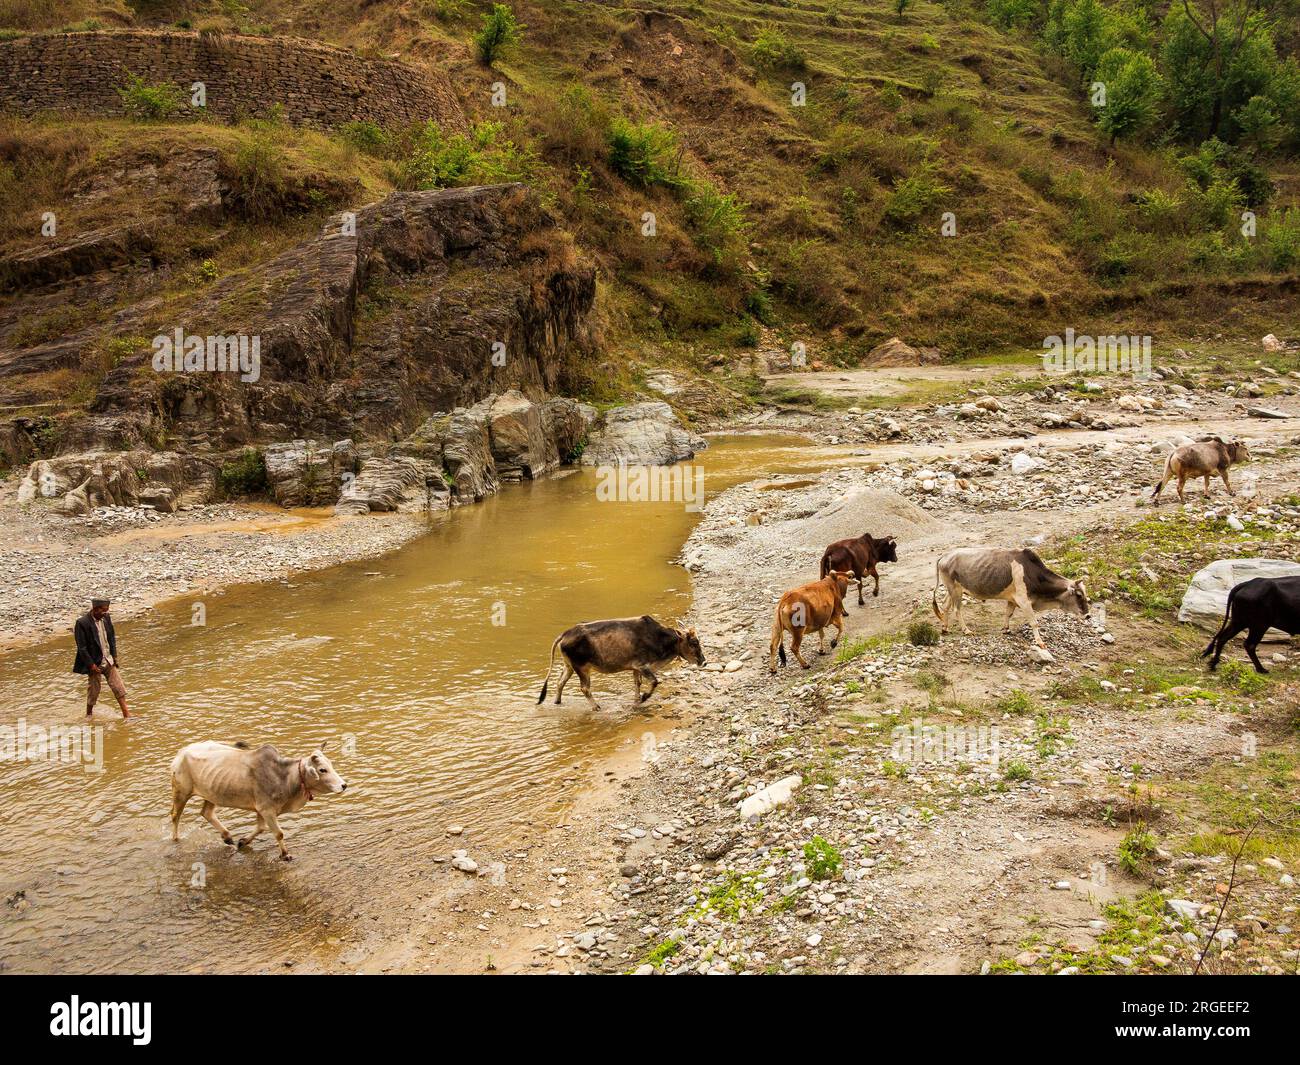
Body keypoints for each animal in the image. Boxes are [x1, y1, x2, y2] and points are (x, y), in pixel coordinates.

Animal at [170, 743, 348, 863]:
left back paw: (227, 837)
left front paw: (243, 842)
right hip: (181, 792)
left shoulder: (262, 810)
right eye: (322, 770)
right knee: (175, 815)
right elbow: (279, 833)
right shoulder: (266, 809)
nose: (344, 785)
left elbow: (261, 828)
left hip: (212, 793)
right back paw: (176, 839)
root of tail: (181, 752)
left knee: (206, 813)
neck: (283, 777)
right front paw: (285, 855)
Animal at [538, 611, 707, 712]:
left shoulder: (636, 668)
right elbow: (654, 682)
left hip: (570, 666)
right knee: (585, 688)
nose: (704, 662)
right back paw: (596, 707)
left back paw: (557, 702)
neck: (659, 638)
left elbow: (637, 683)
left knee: (560, 682)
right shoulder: (642, 665)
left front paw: (637, 700)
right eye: (693, 642)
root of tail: (565, 634)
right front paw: (644, 697)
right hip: (582, 668)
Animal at [930, 548, 1092, 650]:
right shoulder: (1024, 601)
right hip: (955, 590)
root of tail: (945, 556)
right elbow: (1034, 622)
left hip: (953, 590)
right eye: (1079, 595)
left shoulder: (1012, 599)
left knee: (945, 606)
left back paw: (944, 628)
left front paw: (1006, 629)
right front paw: (1040, 642)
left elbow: (1008, 613)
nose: (1088, 615)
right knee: (957, 610)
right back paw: (966, 630)